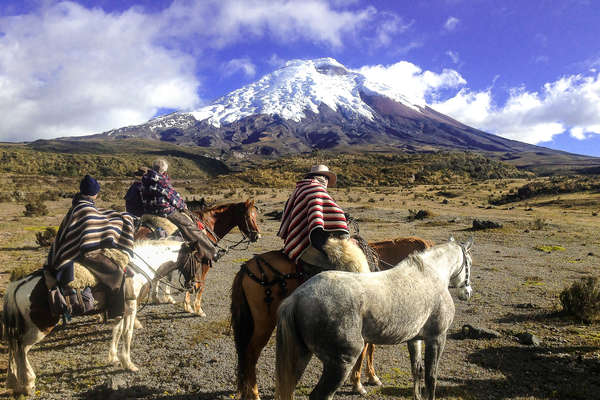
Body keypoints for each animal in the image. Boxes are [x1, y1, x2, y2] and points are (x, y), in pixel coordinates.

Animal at [0, 239, 202, 396]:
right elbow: (127, 333)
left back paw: (15, 382)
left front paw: (114, 358)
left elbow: (117, 331)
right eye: (197, 260)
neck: (138, 268)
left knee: (15, 347)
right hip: (40, 327)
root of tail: (17, 285)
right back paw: (28, 383)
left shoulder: (121, 309)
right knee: (21, 348)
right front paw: (128, 363)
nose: (194, 284)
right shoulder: (131, 307)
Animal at [229, 236, 432, 398]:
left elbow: (370, 348)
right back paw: (254, 394)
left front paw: (371, 377)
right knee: (250, 355)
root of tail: (246, 268)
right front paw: (359, 384)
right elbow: (366, 349)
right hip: (263, 325)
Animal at [276, 238, 474, 400]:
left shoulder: (415, 339)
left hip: (301, 357)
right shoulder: (437, 338)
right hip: (340, 364)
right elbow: (431, 377)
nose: (467, 292)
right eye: (469, 263)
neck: (430, 276)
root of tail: (297, 297)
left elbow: (417, 370)